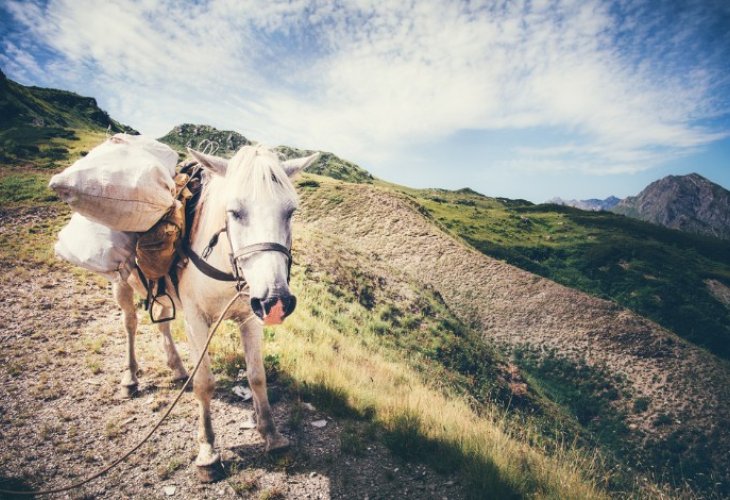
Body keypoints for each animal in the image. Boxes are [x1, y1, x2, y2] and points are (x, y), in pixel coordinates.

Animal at [112, 144, 318, 480]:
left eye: (291, 212)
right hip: (120, 282)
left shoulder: (251, 317)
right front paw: (208, 452)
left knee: (162, 323)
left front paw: (271, 435)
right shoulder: (196, 322)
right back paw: (130, 378)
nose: (276, 301)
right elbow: (205, 383)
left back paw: (177, 368)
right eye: (234, 212)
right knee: (129, 324)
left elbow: (257, 376)